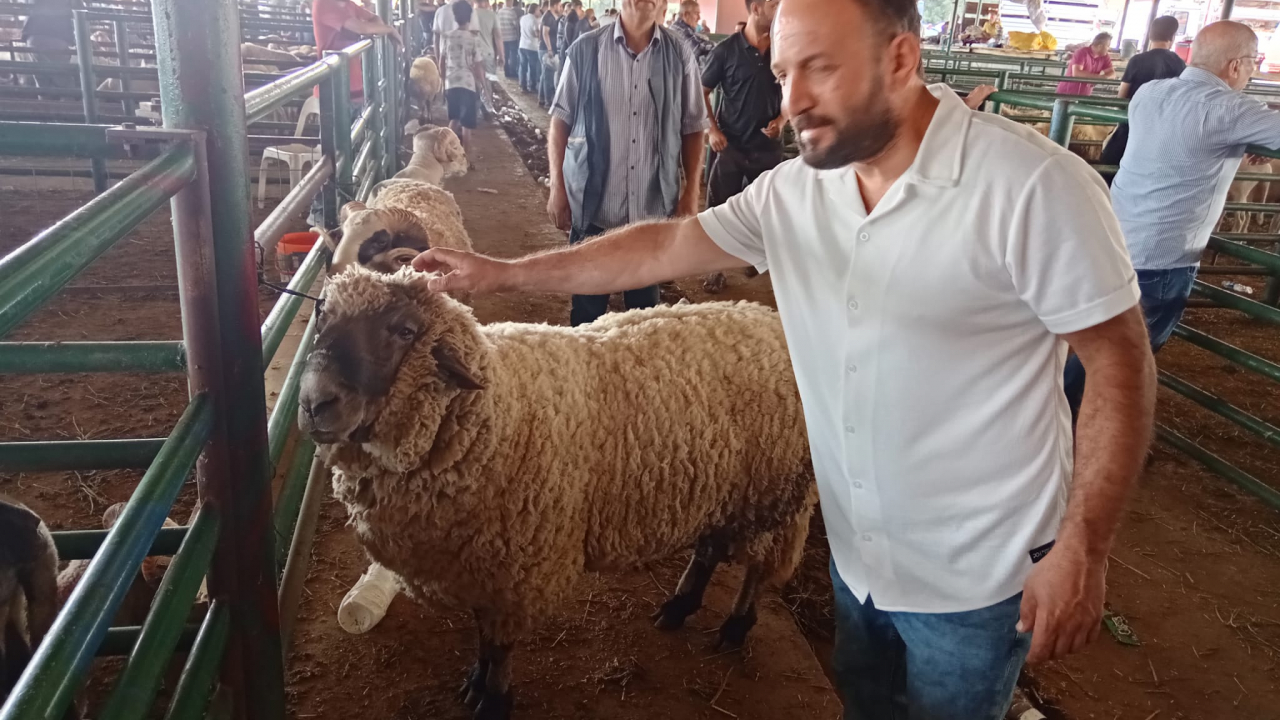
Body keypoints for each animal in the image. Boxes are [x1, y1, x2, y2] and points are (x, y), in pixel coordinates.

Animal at [295, 267, 814, 717]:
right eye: (322, 316)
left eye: (405, 330)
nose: (314, 403)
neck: (493, 413)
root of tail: (767, 319)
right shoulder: (480, 569)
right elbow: (482, 636)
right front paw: (475, 683)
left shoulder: (516, 571)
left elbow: (499, 645)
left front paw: (493, 699)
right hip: (725, 490)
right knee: (709, 551)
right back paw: (678, 607)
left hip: (776, 495)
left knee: (758, 568)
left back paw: (735, 626)